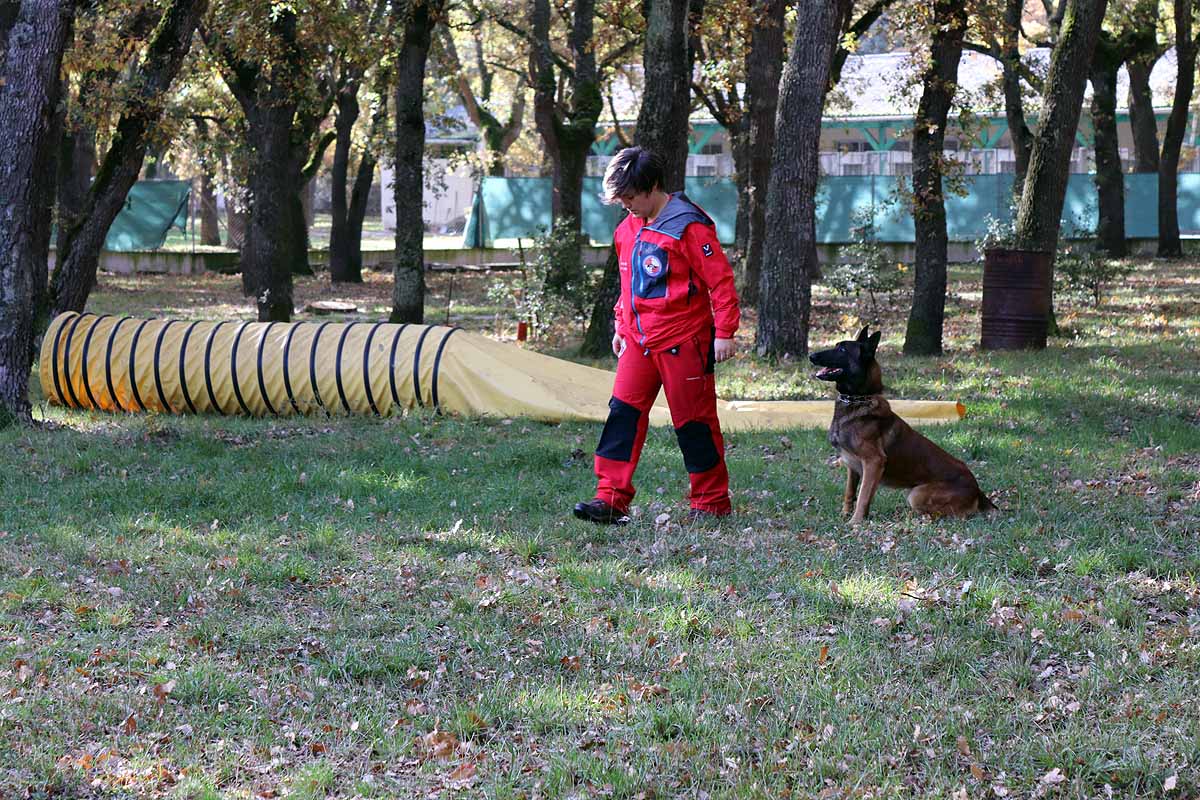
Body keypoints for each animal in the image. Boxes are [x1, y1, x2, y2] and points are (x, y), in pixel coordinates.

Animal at [811, 326, 998, 525]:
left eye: (842, 350)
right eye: (837, 346)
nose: (811, 356)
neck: (858, 399)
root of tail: (977, 489)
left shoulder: (874, 462)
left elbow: (863, 496)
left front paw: (855, 522)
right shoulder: (852, 466)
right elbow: (850, 493)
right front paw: (845, 515)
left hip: (916, 494)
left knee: (949, 515)